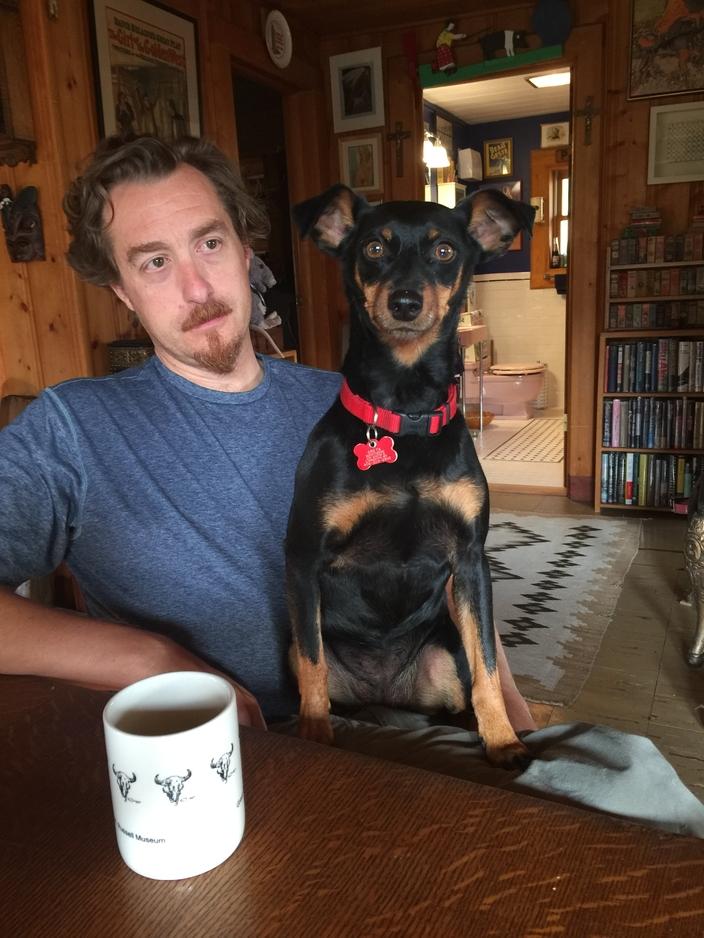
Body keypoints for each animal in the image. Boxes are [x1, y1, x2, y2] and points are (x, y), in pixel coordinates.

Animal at [286, 185, 532, 768]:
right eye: (374, 247)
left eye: (445, 252)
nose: (404, 302)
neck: (407, 411)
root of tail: (385, 695)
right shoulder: (303, 558)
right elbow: (313, 665)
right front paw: (314, 736)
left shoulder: (470, 560)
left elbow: (488, 666)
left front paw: (502, 740)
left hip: (443, 658)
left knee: (459, 695)